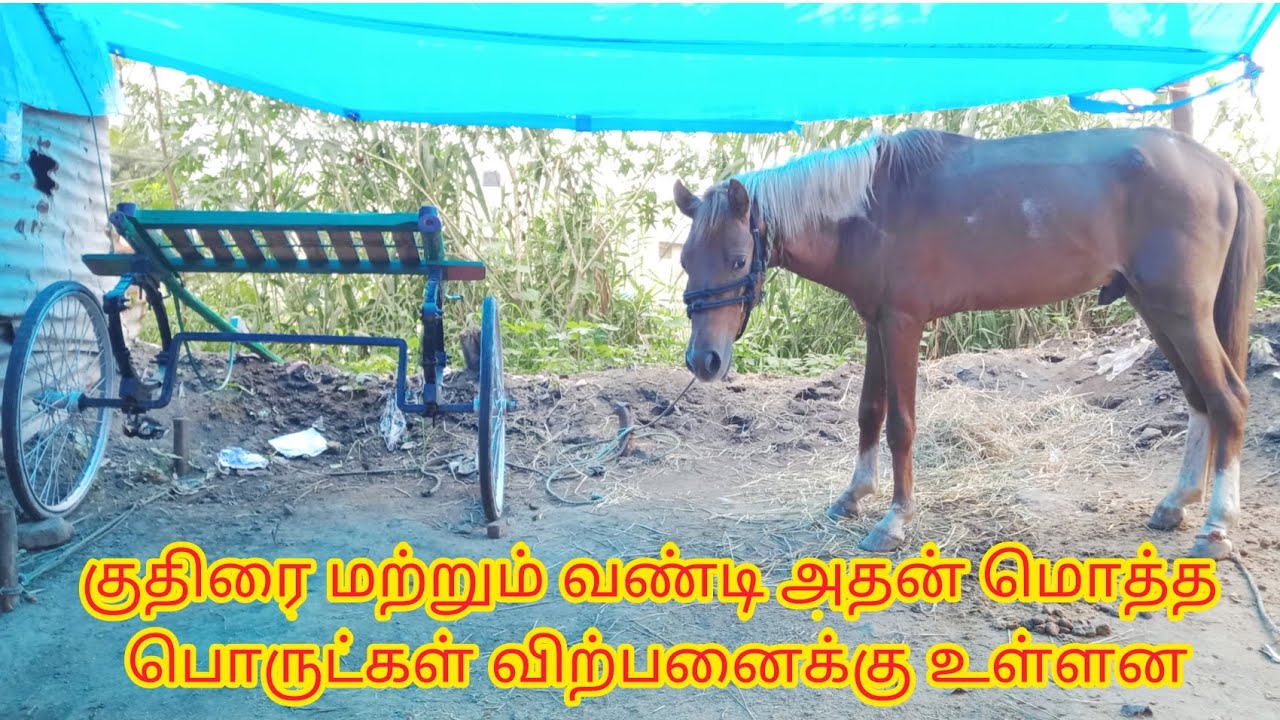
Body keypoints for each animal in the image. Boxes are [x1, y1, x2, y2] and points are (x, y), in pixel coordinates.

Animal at [673, 126, 1265, 560]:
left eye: (737, 260)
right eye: (684, 261)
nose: (704, 361)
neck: (873, 207)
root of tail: (1221, 170)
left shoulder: (903, 325)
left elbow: (901, 425)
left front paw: (894, 521)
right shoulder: (876, 323)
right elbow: (868, 412)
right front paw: (853, 495)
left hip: (1181, 312)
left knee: (1229, 399)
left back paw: (1216, 526)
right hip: (1156, 309)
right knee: (1199, 398)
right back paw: (1177, 503)